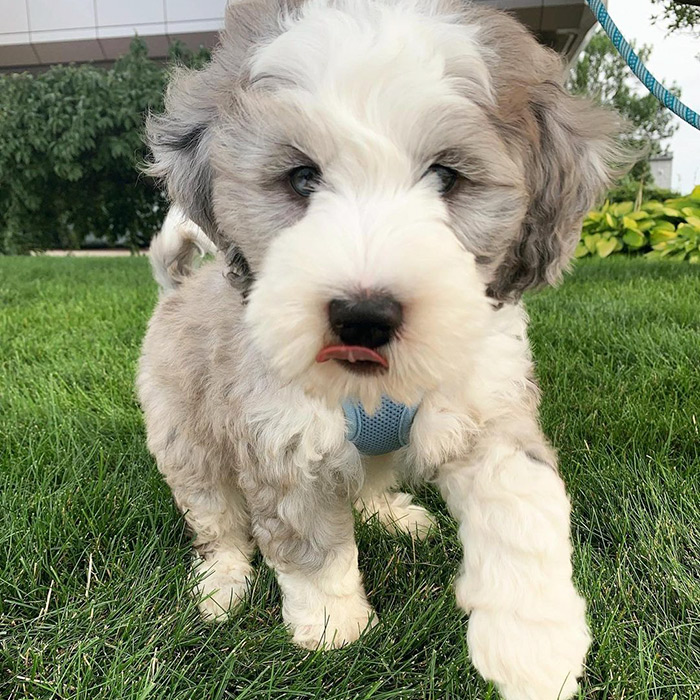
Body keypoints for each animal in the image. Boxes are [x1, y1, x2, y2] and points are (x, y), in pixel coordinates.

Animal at [138, 2, 624, 696]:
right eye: (302, 177)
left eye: (446, 175)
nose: (363, 316)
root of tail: (178, 284)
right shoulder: (282, 442)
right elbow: (311, 547)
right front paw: (334, 627)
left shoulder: (486, 406)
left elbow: (520, 507)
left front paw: (534, 647)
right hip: (185, 434)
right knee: (216, 518)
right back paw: (222, 585)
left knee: (368, 474)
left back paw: (390, 515)